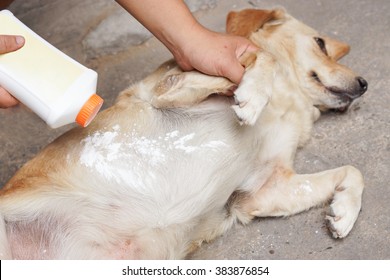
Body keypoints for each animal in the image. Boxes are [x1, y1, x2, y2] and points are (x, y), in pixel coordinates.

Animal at [0, 7, 366, 260]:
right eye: (320, 43)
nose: (364, 84)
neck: (290, 104)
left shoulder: (265, 189)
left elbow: (353, 171)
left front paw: (344, 213)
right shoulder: (164, 89)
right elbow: (263, 57)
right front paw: (251, 95)